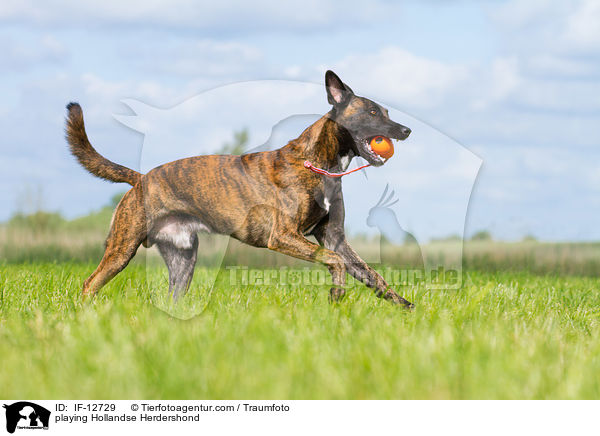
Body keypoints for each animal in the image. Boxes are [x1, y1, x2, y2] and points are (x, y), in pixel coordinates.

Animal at [64, 70, 412, 306]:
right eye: (372, 112)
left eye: (387, 113)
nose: (406, 130)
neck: (317, 163)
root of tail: (140, 178)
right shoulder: (283, 236)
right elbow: (334, 261)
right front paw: (337, 292)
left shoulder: (333, 237)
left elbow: (372, 275)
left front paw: (404, 307)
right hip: (122, 248)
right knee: (89, 283)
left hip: (183, 260)